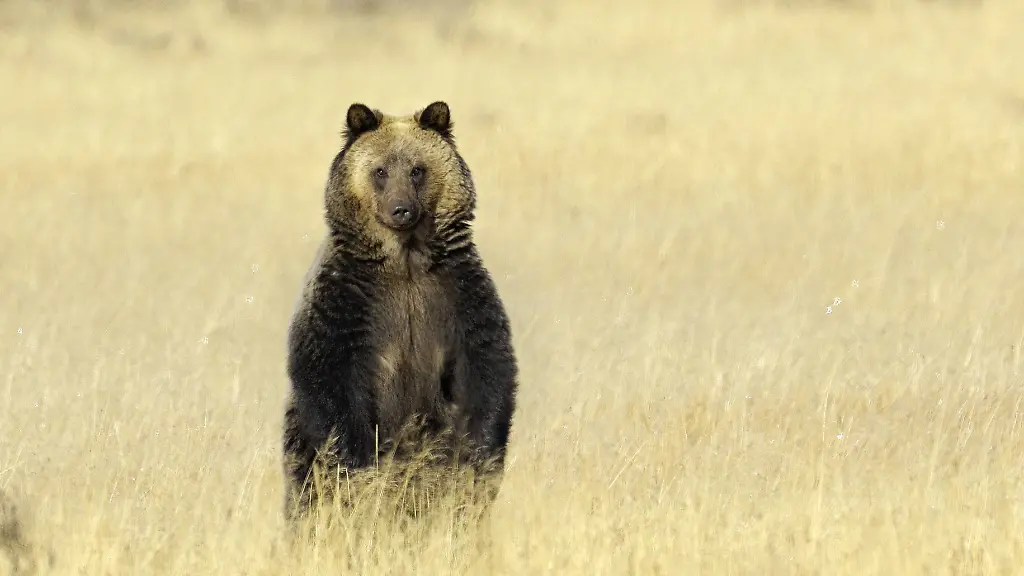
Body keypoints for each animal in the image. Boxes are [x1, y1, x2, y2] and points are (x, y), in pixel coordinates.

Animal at [281, 101, 519, 521]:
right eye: (380, 171)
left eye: (417, 169)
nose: (401, 209)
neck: (404, 261)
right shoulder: (346, 302)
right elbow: (328, 380)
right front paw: (357, 470)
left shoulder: (457, 297)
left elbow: (486, 372)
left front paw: (479, 462)